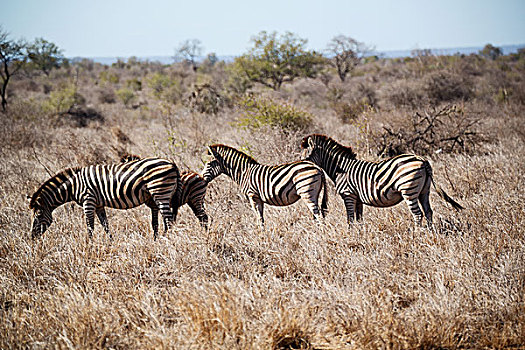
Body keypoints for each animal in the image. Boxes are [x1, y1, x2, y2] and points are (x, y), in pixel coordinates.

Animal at [27, 157, 182, 239]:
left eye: (38, 216)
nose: (32, 238)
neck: (74, 185)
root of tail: (172, 163)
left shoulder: (88, 201)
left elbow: (90, 227)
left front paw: (89, 246)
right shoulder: (98, 205)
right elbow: (105, 225)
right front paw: (110, 242)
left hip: (160, 193)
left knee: (169, 220)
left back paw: (166, 239)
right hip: (158, 195)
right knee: (163, 220)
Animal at [298, 134, 462, 227]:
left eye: (305, 155)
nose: (299, 164)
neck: (341, 169)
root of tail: (422, 159)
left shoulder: (348, 195)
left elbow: (350, 218)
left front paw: (350, 234)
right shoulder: (357, 198)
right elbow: (359, 218)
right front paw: (359, 234)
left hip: (409, 190)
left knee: (418, 214)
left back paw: (417, 235)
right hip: (424, 191)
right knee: (428, 212)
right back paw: (429, 233)